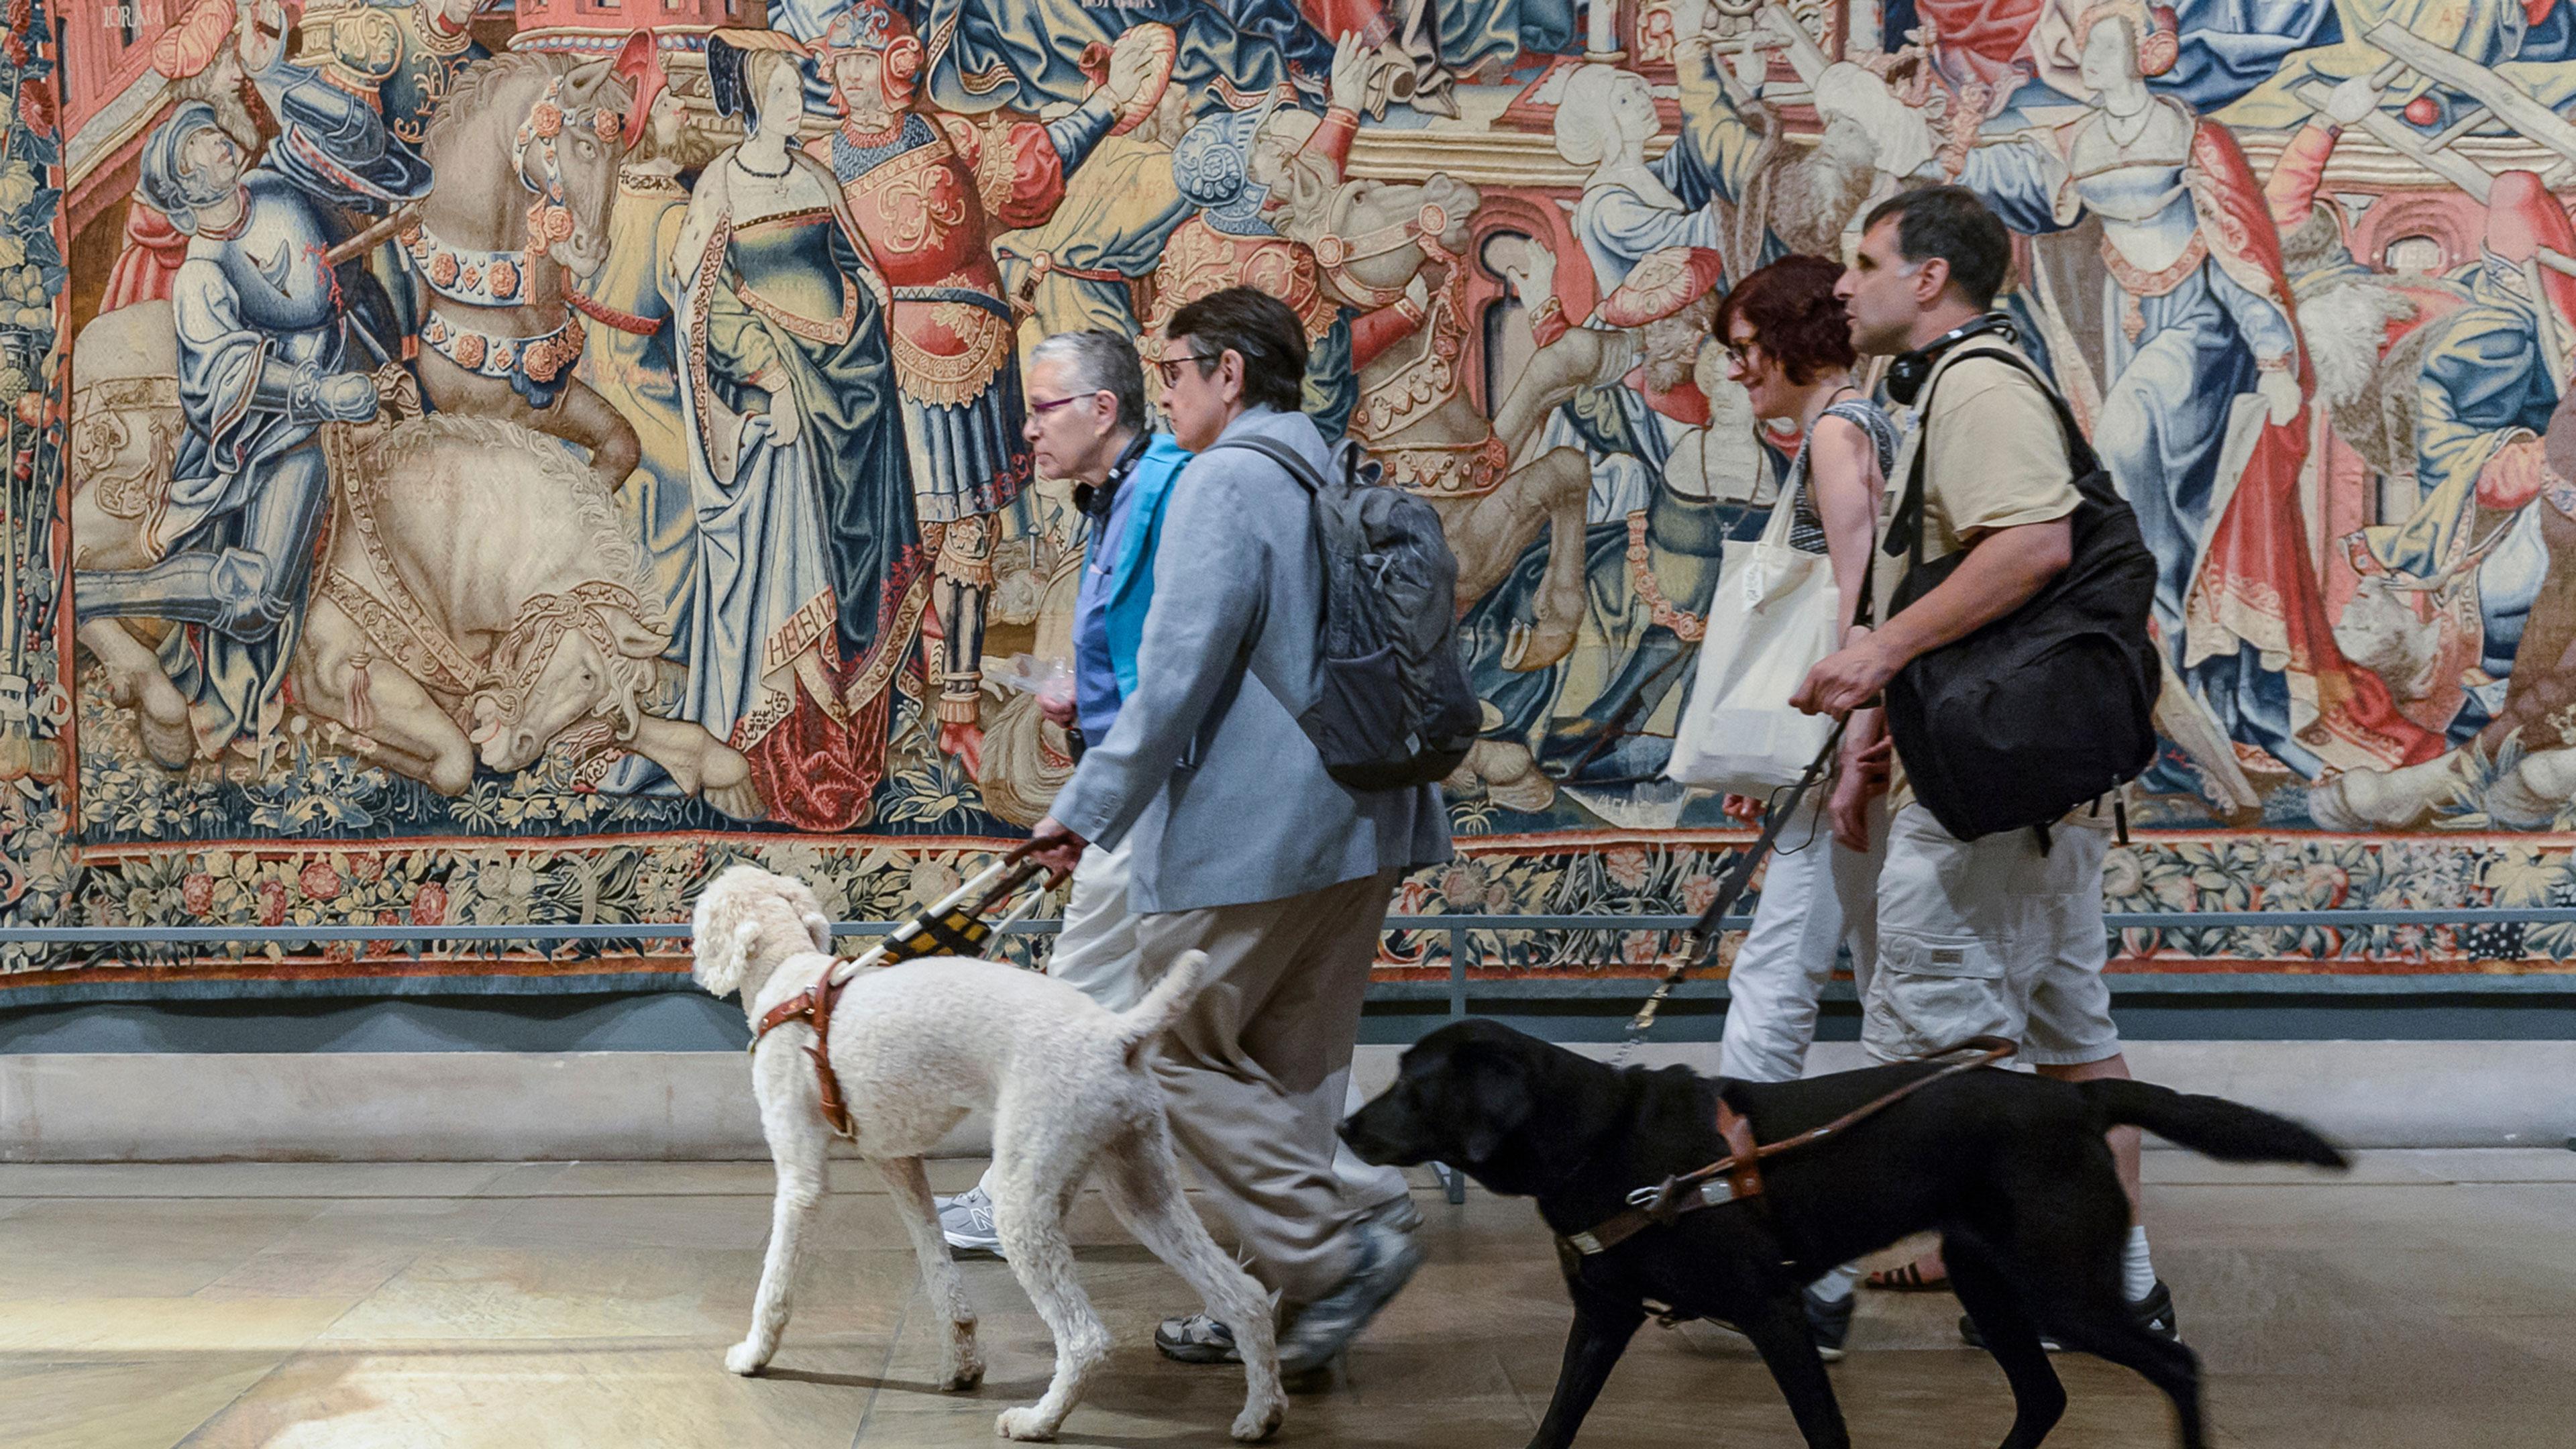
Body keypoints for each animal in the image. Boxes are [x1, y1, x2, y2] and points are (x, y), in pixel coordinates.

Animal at [695, 861, 1288, 1433]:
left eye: (700, 920)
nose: (696, 964)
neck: (790, 979)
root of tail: (1117, 1033)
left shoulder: (801, 1179)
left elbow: (775, 1281)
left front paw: (754, 1355)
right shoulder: (900, 1165)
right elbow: (938, 1265)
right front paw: (962, 1365)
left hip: (1024, 1202)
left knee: (1086, 1339)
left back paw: (1039, 1422)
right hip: (1143, 1187)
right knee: (1245, 1298)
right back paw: (1261, 1415)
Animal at [1350, 1016, 2359, 1444]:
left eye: (1413, 1085)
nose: (1347, 1128)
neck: (1601, 1139)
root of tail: (2077, 1100)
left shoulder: (1772, 1312)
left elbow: (1825, 1430)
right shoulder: (1602, 1319)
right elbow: (1556, 1423)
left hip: (2061, 1288)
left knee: (2175, 1366)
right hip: (1994, 1282)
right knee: (2043, 1399)